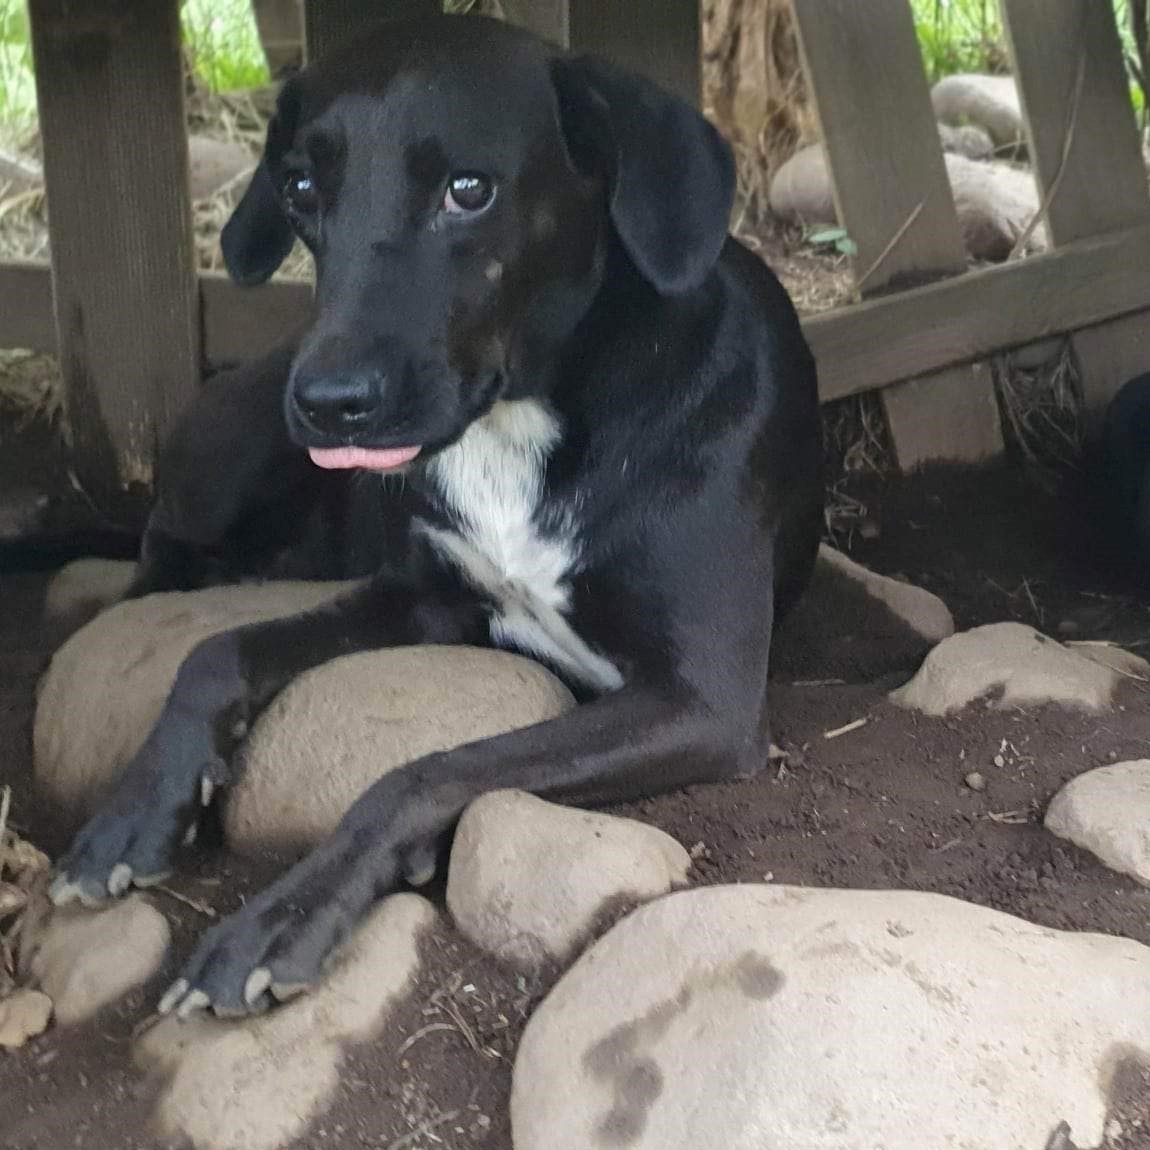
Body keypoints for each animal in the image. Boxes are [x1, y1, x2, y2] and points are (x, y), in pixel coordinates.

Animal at [49, 11, 823, 1016]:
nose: (331, 404)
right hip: (238, 440)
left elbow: (429, 768)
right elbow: (217, 651)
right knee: (164, 553)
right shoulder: (425, 595)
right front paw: (135, 814)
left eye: (469, 189)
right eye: (300, 188)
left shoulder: (704, 698)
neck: (524, 419)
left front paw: (282, 919)